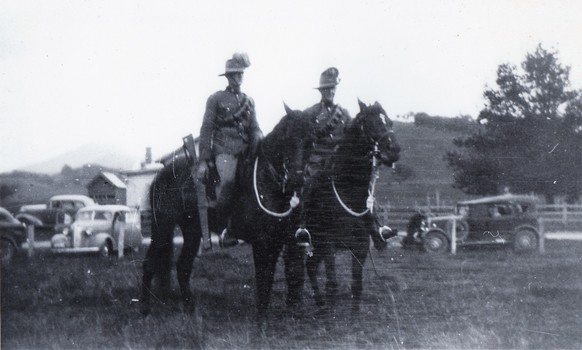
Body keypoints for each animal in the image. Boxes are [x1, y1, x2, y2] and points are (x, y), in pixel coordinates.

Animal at [141, 104, 314, 328]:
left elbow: (273, 277)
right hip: (162, 228)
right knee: (149, 264)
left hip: (192, 231)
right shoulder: (262, 243)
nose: (297, 181)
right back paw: (144, 312)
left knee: (183, 267)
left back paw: (190, 310)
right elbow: (263, 279)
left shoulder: (277, 241)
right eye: (287, 138)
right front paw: (261, 323)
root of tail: (160, 175)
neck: (267, 180)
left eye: (310, 140)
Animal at [304, 99, 404, 314]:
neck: (348, 191)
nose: (395, 150)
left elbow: (356, 284)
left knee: (311, 266)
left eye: (390, 122)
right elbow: (332, 284)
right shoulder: (329, 244)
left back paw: (320, 303)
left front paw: (354, 316)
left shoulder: (360, 246)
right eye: (373, 123)